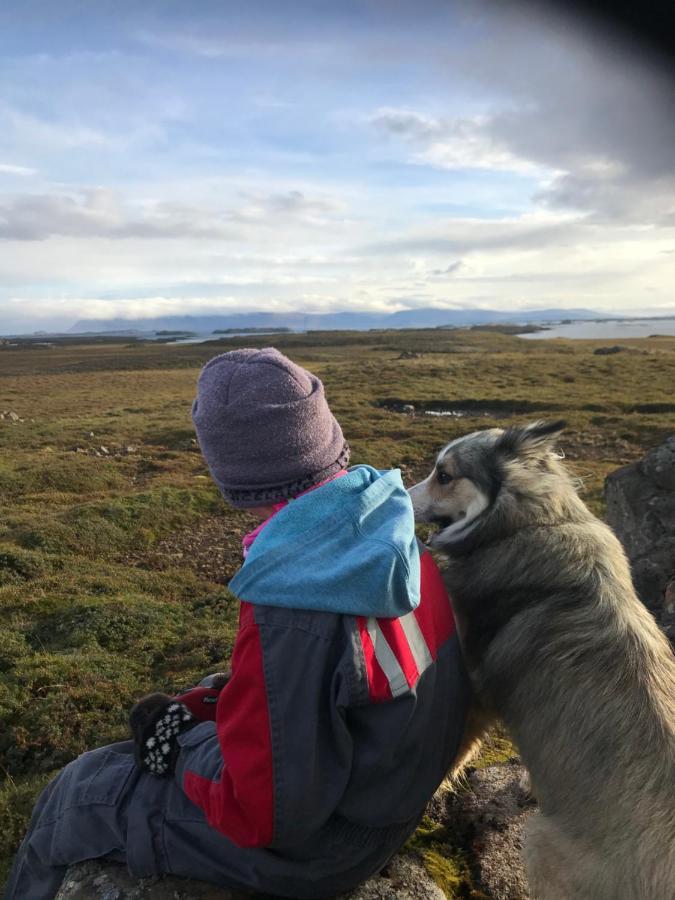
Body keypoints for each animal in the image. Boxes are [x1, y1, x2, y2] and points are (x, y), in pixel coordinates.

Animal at [406, 422, 675, 900]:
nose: (400, 489)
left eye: (445, 475)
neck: (532, 520)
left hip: (539, 844)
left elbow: (450, 757)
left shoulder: (475, 694)